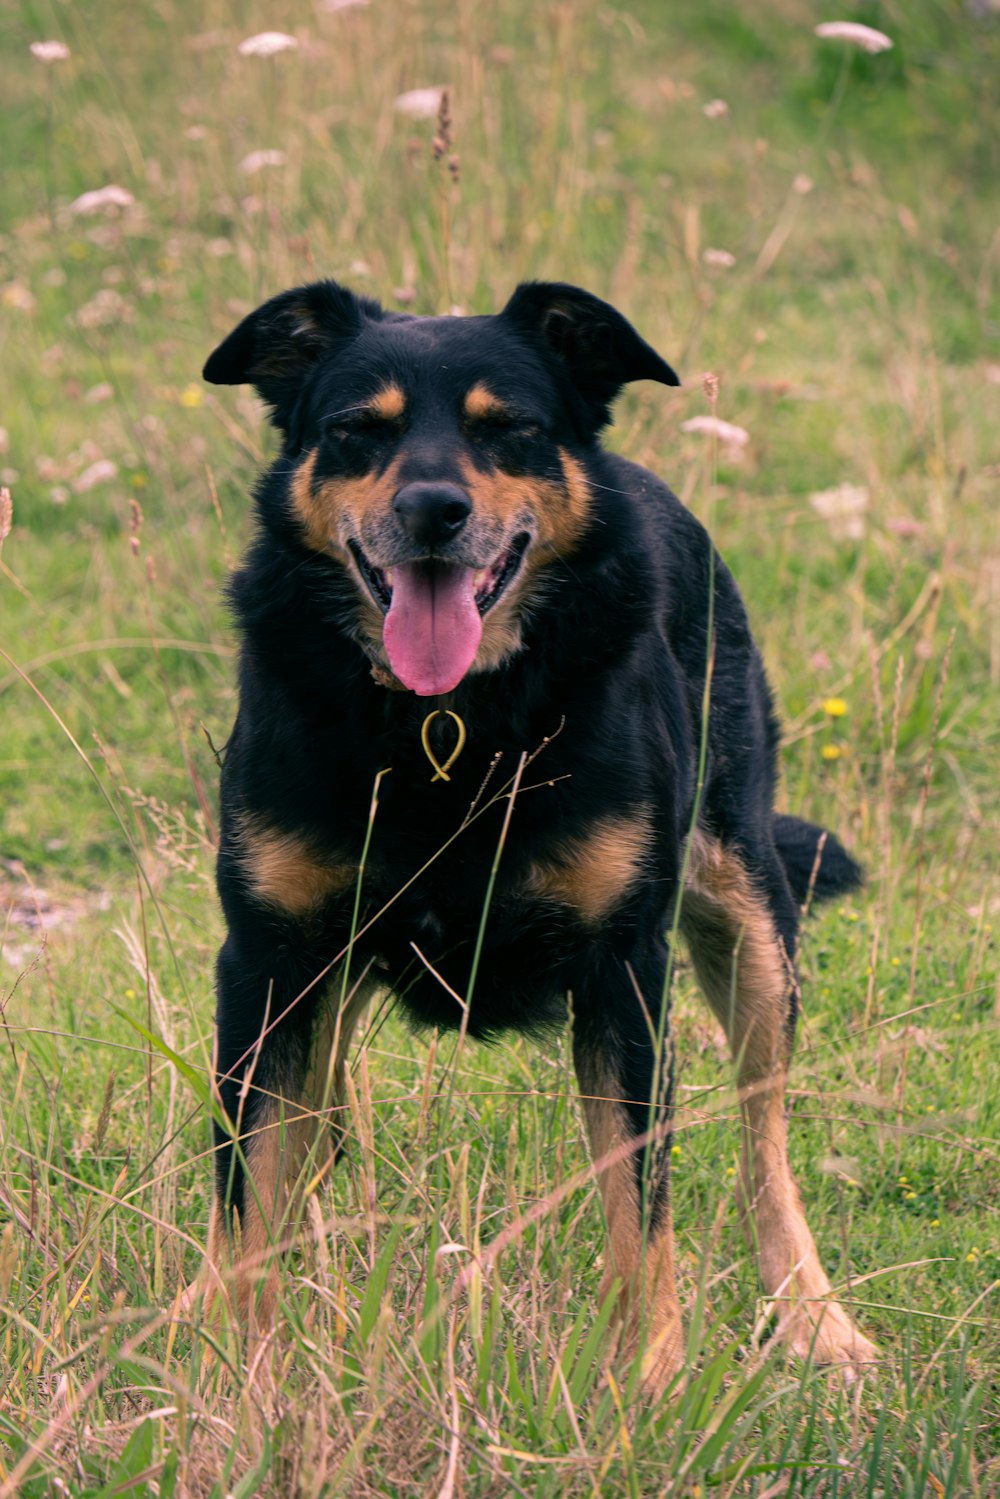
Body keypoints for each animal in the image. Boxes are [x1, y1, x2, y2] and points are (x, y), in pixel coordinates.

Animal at [200, 275, 875, 1385]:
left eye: (508, 427)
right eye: (356, 430)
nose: (433, 509)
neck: (447, 721)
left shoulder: (621, 970)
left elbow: (641, 1214)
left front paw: (650, 1383)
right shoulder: (269, 958)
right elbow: (247, 1199)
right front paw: (231, 1381)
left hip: (749, 911)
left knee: (762, 1140)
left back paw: (817, 1318)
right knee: (320, 1127)